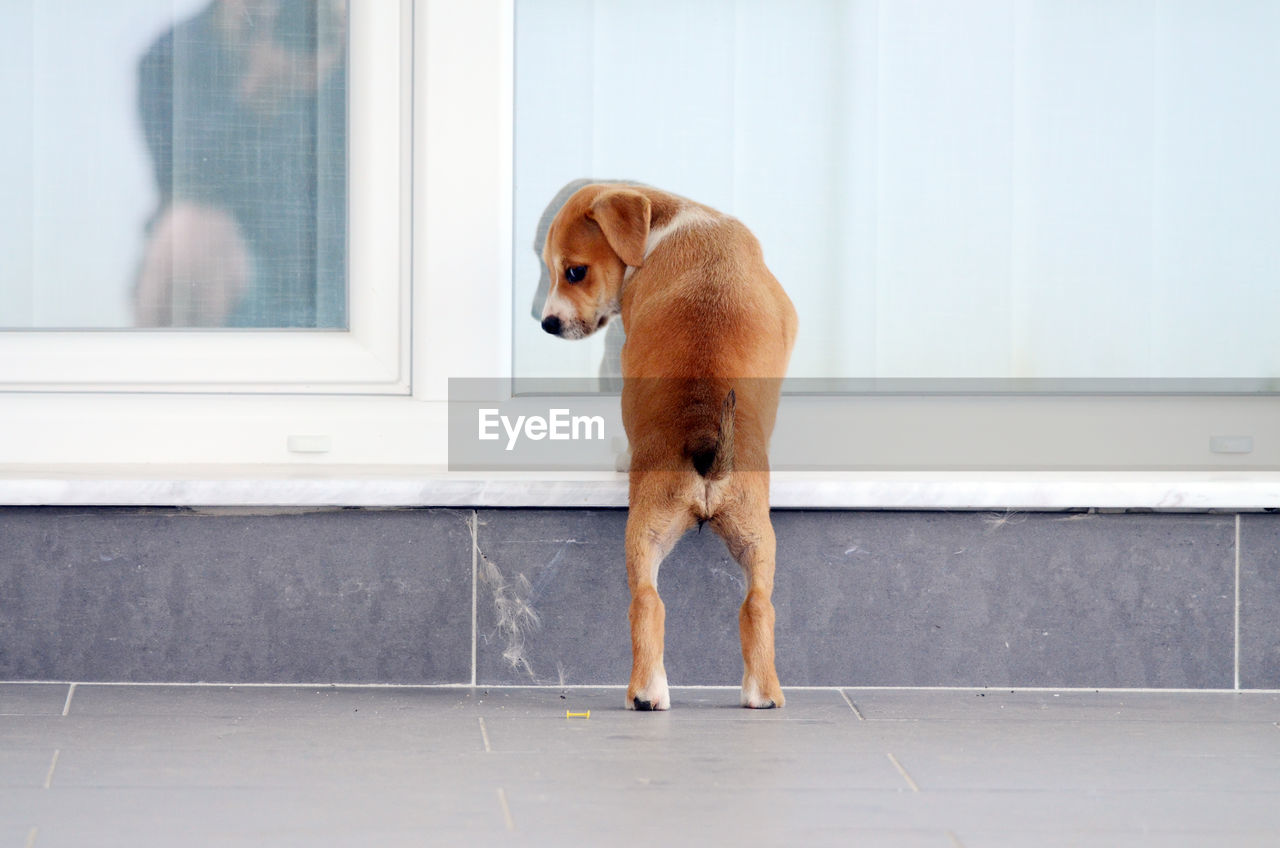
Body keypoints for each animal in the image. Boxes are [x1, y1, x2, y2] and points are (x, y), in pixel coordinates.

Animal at [542, 184, 798, 712]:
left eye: (574, 271)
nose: (547, 324)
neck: (668, 226)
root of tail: (705, 443)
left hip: (718, 534)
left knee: (722, 604)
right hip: (695, 536)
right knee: (671, 604)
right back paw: (664, 693)